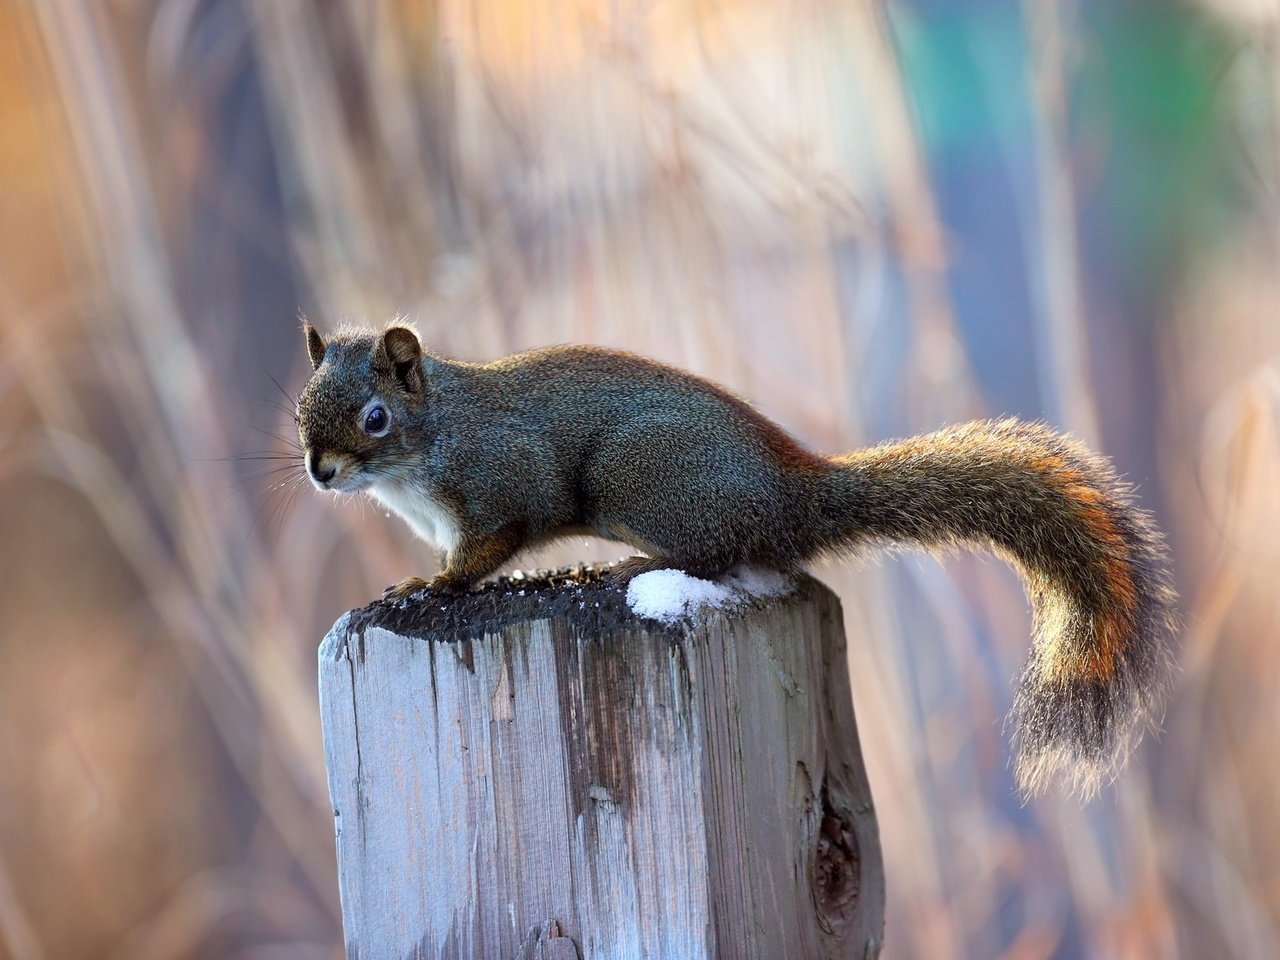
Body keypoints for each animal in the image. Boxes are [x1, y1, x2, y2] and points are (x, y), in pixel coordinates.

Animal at [294, 321, 1172, 798]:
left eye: (375, 417)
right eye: (300, 410)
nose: (319, 472)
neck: (429, 443)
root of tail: (792, 492)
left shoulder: (504, 482)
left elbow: (487, 548)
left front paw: (430, 585)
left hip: (639, 478)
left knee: (720, 554)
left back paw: (630, 571)